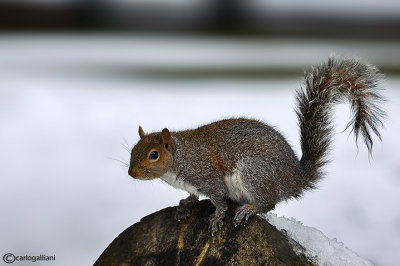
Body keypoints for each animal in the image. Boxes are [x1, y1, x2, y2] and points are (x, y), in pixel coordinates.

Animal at [127, 55, 384, 233]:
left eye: (153, 154)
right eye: (132, 151)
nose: (131, 173)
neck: (179, 158)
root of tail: (296, 178)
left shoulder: (206, 174)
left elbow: (219, 199)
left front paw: (217, 217)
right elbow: (193, 195)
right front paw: (185, 204)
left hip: (254, 173)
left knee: (268, 204)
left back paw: (250, 210)